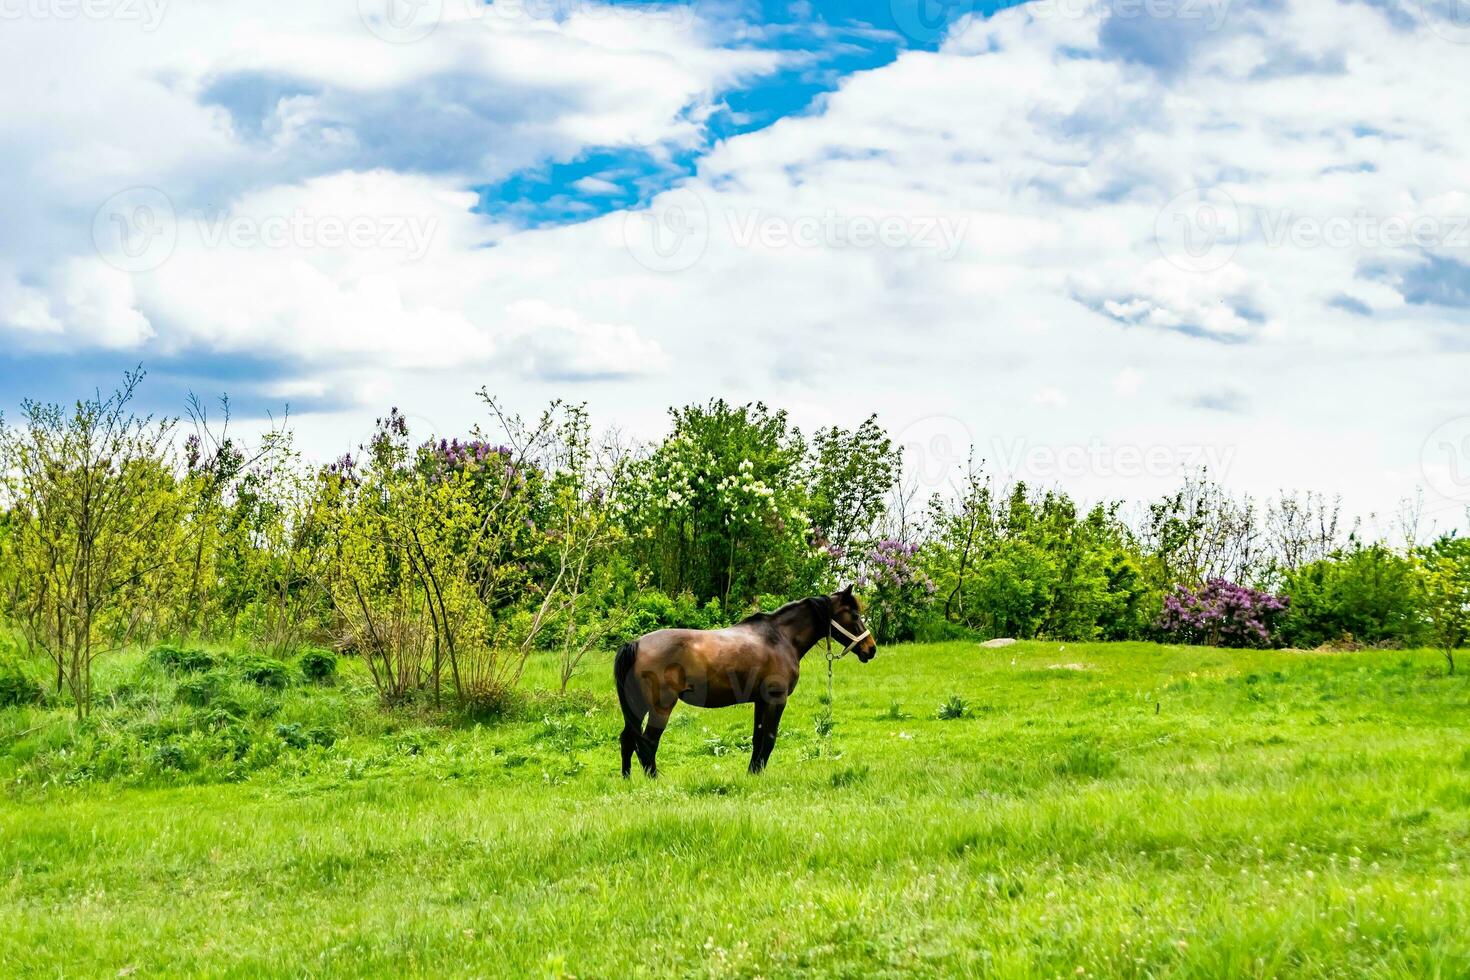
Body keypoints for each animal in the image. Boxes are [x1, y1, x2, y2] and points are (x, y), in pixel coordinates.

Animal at [614, 587, 876, 775]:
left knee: (628, 740)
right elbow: (769, 739)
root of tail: (636, 644)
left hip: (637, 707)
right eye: (854, 615)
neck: (780, 638)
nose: (871, 649)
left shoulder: (761, 701)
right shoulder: (776, 700)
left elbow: (757, 738)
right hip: (660, 708)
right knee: (648, 743)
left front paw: (752, 774)